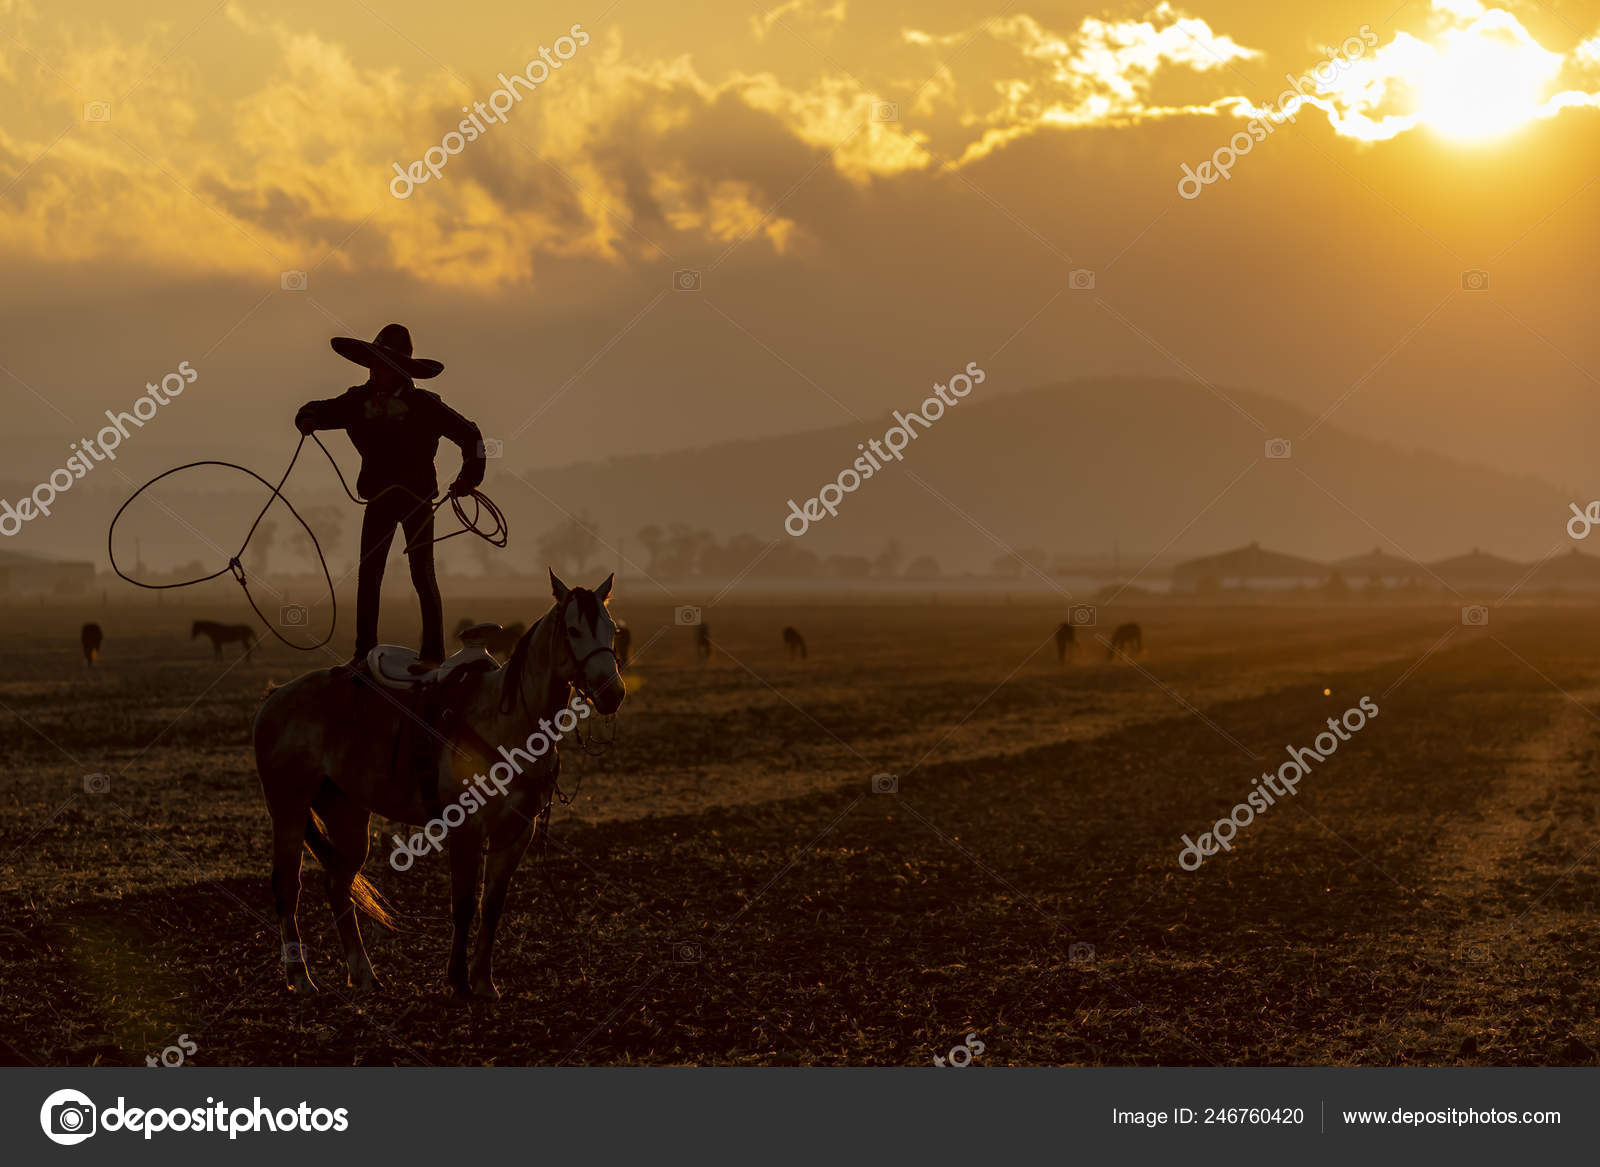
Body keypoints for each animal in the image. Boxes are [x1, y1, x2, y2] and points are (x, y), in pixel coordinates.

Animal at [252, 570, 624, 999]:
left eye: (612, 629)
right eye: (574, 630)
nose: (613, 693)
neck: (508, 719)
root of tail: (276, 696)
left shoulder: (516, 832)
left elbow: (491, 905)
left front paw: (484, 982)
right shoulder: (466, 829)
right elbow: (463, 904)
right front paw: (458, 981)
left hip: (346, 812)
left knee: (338, 884)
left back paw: (364, 975)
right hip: (288, 809)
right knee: (287, 887)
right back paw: (300, 977)